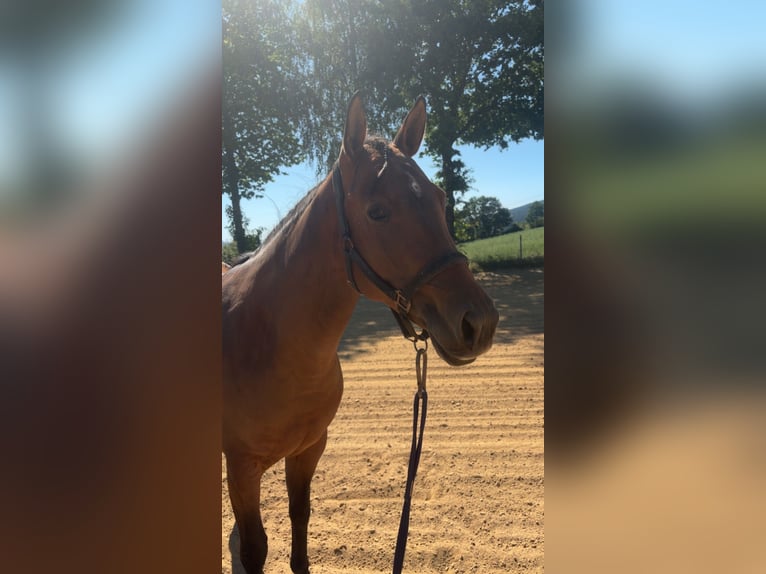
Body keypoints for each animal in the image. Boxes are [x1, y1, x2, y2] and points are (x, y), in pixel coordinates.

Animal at [222, 93, 499, 574]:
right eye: (377, 212)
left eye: (440, 199)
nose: (478, 323)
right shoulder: (241, 467)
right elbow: (255, 548)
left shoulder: (308, 450)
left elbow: (299, 519)